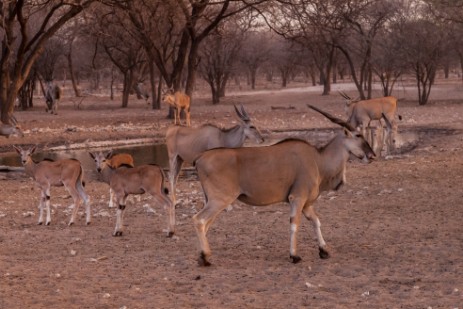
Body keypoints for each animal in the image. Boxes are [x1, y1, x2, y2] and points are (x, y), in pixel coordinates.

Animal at [190, 104, 376, 266]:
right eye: (358, 136)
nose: (372, 155)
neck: (318, 159)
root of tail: (200, 158)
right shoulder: (297, 198)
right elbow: (294, 224)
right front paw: (294, 255)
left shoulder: (306, 204)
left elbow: (316, 221)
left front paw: (324, 250)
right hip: (220, 200)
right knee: (199, 220)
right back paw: (205, 257)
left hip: (213, 201)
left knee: (206, 224)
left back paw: (202, 256)